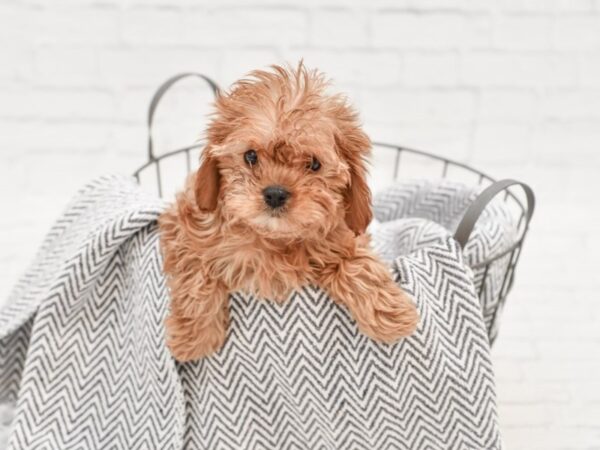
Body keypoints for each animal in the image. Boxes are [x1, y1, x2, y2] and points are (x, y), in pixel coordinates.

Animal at [162, 62, 420, 362]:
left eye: (314, 164)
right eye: (250, 156)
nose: (275, 193)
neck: (273, 239)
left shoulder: (345, 239)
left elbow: (358, 265)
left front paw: (390, 315)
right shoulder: (183, 227)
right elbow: (196, 272)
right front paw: (194, 339)